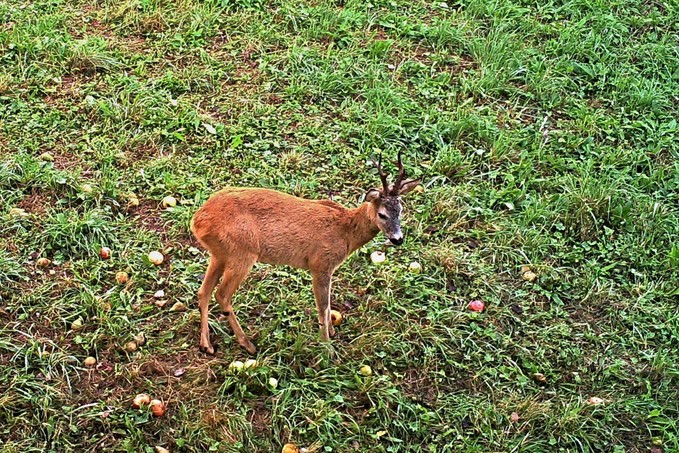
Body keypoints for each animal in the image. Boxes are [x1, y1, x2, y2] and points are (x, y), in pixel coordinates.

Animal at [189, 152, 418, 354]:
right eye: (382, 214)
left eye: (401, 210)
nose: (398, 239)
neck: (346, 231)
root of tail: (197, 221)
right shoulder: (321, 264)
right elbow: (322, 306)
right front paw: (327, 348)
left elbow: (327, 305)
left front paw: (331, 332)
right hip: (242, 252)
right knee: (222, 294)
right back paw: (248, 344)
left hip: (220, 254)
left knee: (204, 291)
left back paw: (207, 345)